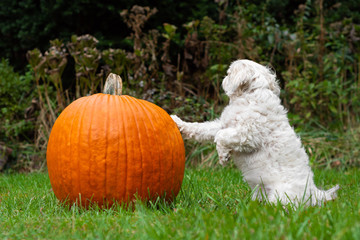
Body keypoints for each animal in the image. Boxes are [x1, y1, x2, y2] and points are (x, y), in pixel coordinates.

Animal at [172, 59, 340, 206]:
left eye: (228, 73)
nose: (223, 79)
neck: (251, 94)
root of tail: (314, 194)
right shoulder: (223, 125)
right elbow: (203, 129)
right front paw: (179, 123)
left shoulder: (247, 135)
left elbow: (221, 137)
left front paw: (223, 156)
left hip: (281, 196)